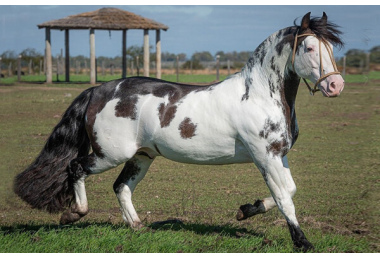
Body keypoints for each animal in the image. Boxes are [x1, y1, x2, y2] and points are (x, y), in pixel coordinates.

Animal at [14, 12, 344, 252]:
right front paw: (302, 242)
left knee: (121, 187)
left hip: (142, 155)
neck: (260, 95)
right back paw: (74, 213)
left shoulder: (278, 155)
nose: (335, 85)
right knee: (76, 168)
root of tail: (98, 90)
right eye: (310, 47)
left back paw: (137, 226)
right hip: (110, 154)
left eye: (331, 47)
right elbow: (284, 197)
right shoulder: (265, 157)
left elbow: (288, 190)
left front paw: (246, 209)